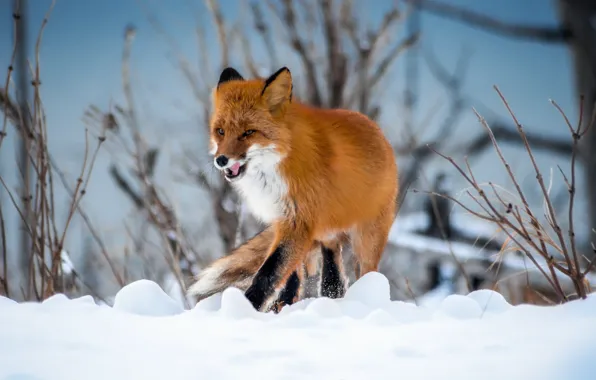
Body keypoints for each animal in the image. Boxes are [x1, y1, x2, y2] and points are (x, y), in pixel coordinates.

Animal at [189, 66, 398, 312]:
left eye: (249, 132)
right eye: (220, 131)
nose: (221, 160)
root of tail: (378, 130)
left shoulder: (298, 222)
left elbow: (268, 273)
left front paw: (245, 309)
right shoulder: (285, 222)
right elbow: (286, 276)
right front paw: (276, 309)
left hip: (367, 240)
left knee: (368, 274)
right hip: (326, 234)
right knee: (332, 278)